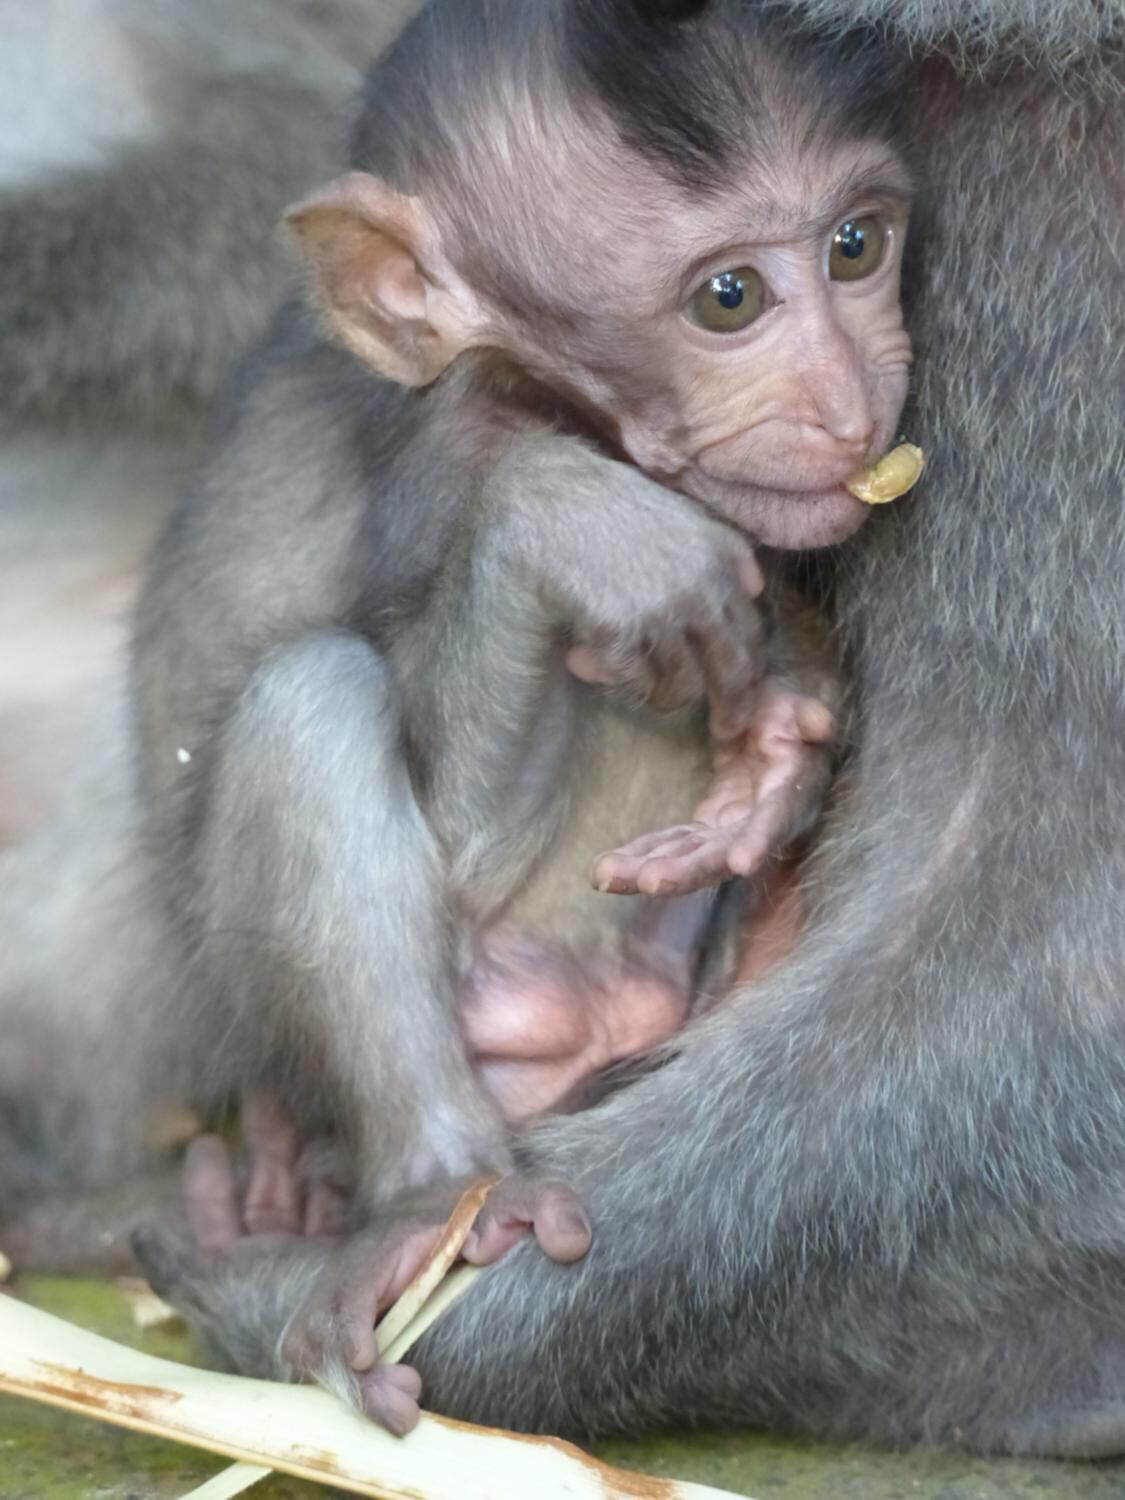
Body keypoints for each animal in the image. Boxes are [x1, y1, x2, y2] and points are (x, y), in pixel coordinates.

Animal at [125, 0, 1125, 1461]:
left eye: (857, 245)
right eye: (729, 299)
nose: (849, 397)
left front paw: (773, 762)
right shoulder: (460, 444)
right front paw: (584, 532)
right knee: (307, 704)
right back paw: (430, 1199)